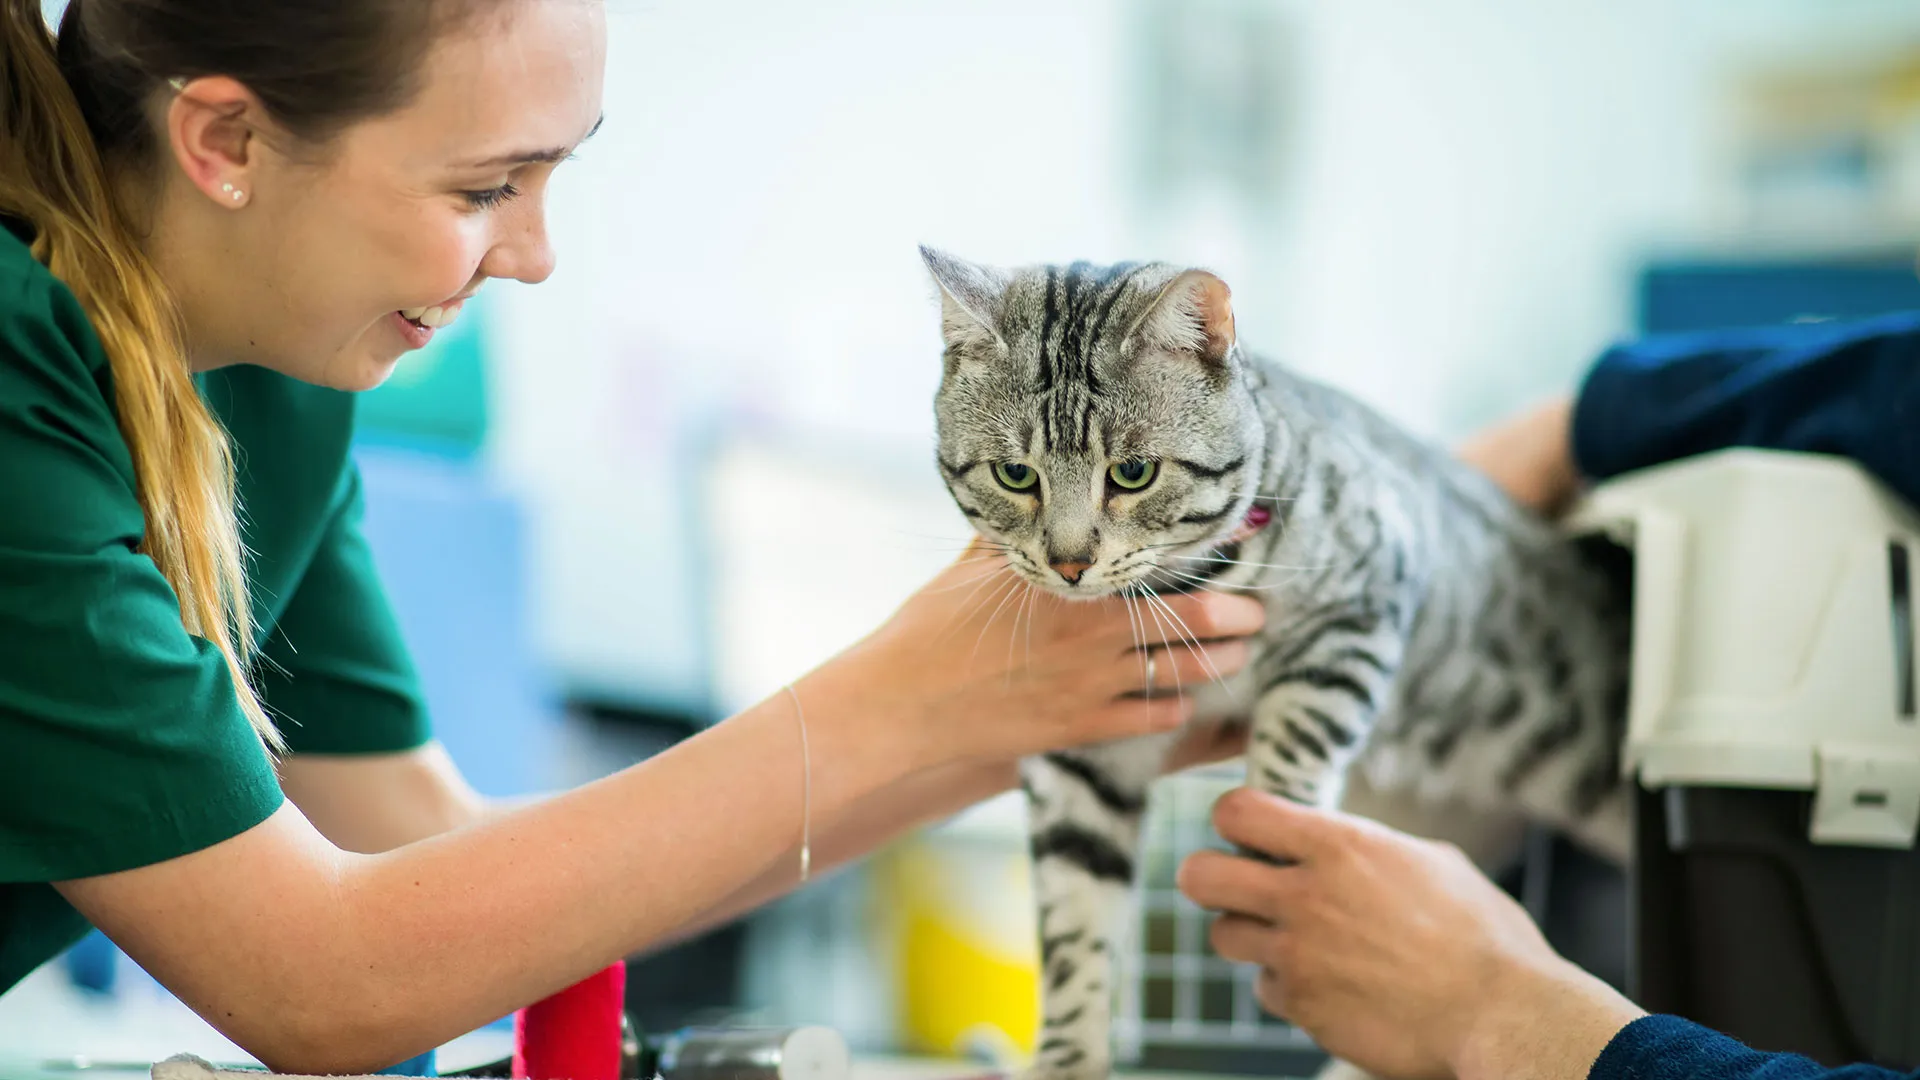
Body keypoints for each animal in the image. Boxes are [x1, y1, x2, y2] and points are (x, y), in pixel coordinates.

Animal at [921, 245, 1628, 1076]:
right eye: (1015, 476)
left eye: (1132, 473)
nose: (1068, 565)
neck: (1182, 587)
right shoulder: (1083, 753)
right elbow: (1074, 920)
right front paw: (1066, 1060)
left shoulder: (1363, 602)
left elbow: (1294, 746)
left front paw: (1267, 849)